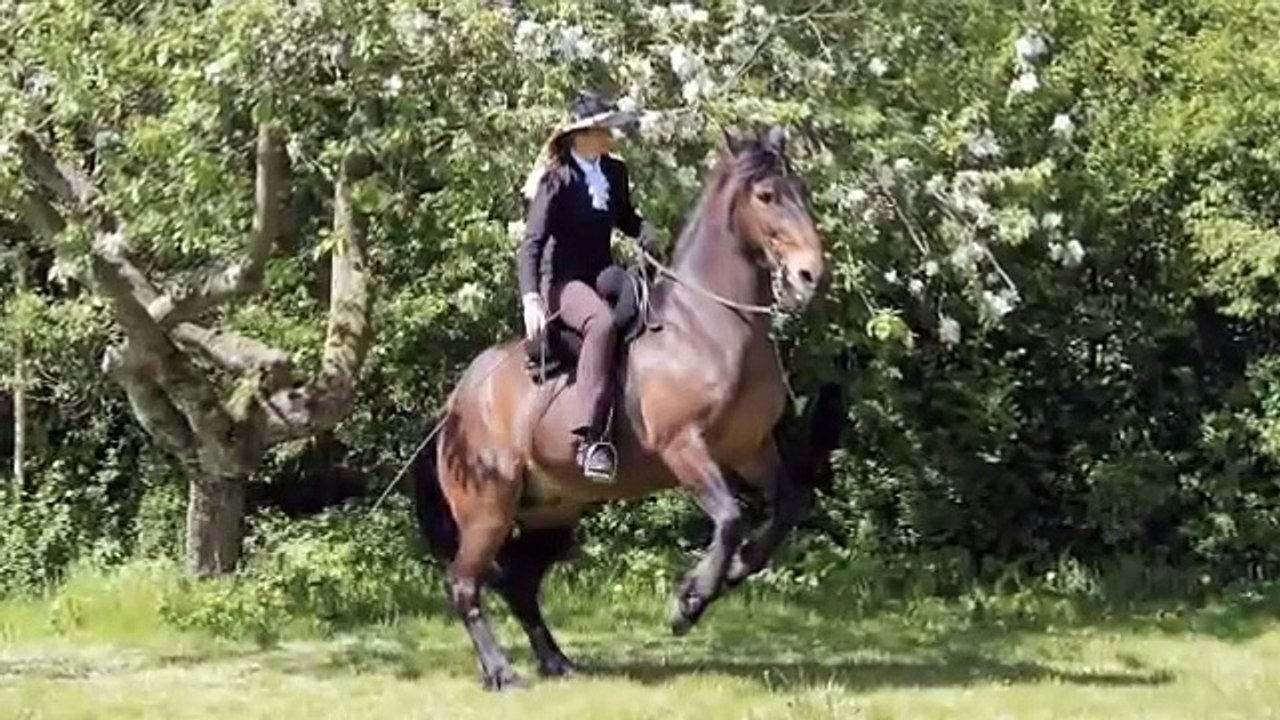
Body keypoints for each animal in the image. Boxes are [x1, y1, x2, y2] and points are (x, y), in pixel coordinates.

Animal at [413, 125, 827, 690]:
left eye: (801, 191)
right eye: (765, 196)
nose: (811, 274)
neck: (707, 328)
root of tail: (455, 405)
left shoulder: (751, 449)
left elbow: (786, 508)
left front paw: (735, 571)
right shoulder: (684, 448)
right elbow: (730, 519)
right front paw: (689, 602)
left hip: (551, 513)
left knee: (519, 584)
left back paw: (557, 662)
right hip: (487, 509)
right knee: (465, 583)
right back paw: (502, 672)